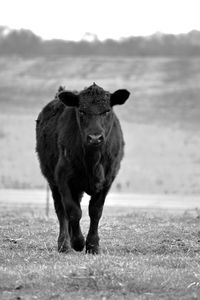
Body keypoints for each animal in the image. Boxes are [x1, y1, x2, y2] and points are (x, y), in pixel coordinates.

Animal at [35, 83, 130, 254]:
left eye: (107, 111)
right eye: (81, 111)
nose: (95, 138)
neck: (92, 162)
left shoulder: (108, 179)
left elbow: (95, 211)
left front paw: (93, 245)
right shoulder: (63, 177)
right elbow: (73, 211)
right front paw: (78, 242)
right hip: (52, 180)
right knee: (61, 210)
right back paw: (64, 244)